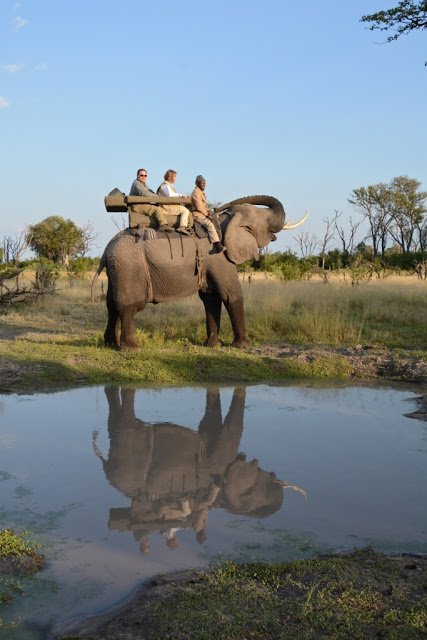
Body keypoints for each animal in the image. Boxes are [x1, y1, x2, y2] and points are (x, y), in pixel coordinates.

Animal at [93, 195, 308, 350]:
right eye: (266, 219)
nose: (215, 208)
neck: (223, 221)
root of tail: (106, 249)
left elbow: (211, 298)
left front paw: (213, 346)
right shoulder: (219, 256)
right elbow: (231, 294)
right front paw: (243, 347)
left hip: (118, 268)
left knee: (112, 305)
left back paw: (110, 345)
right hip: (130, 266)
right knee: (129, 306)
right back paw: (132, 349)